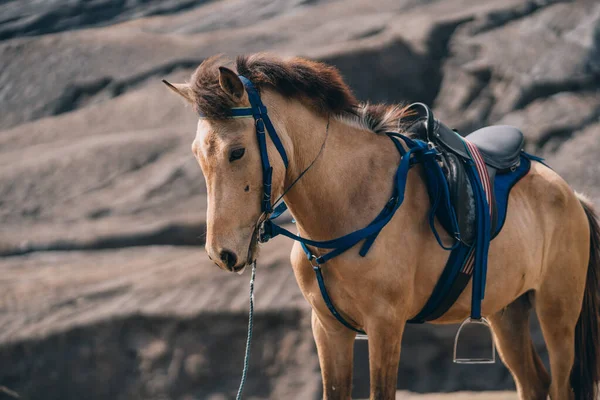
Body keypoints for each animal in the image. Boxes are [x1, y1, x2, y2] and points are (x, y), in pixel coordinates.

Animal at [163, 54, 600, 400]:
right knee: (534, 384)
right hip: (506, 312)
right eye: (197, 154)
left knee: (559, 383)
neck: (352, 203)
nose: (222, 254)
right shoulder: (328, 328)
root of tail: (571, 195)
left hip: (558, 314)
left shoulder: (385, 325)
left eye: (237, 152)